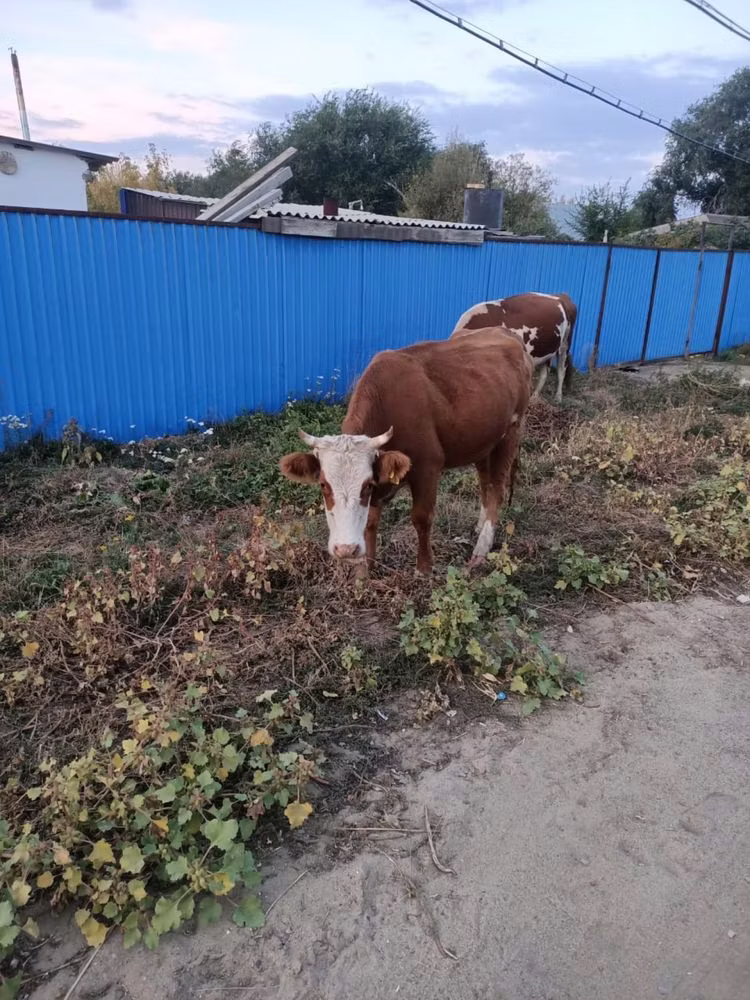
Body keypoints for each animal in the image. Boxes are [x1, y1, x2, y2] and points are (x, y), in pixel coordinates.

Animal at [279, 328, 533, 578]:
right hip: (484, 442)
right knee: (485, 484)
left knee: (497, 489)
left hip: (511, 432)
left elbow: (421, 517)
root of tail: (506, 333)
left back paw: (482, 547)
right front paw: (367, 567)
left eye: (366, 485)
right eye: (323, 485)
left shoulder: (428, 468)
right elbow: (370, 521)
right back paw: (480, 526)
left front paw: (424, 568)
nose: (345, 549)